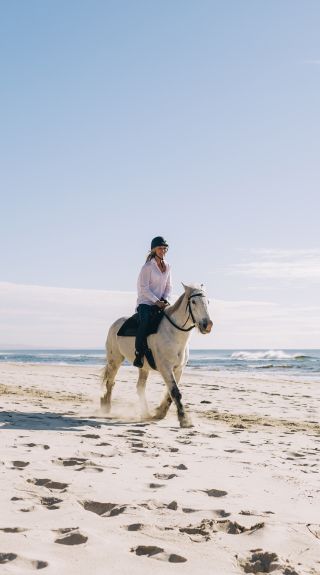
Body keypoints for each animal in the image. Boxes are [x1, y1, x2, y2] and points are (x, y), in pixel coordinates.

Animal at [101, 284, 214, 428]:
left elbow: (170, 393)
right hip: (115, 360)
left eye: (208, 302)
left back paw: (145, 413)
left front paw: (160, 413)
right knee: (110, 382)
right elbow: (175, 392)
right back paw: (106, 406)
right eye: (193, 302)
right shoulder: (165, 367)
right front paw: (184, 419)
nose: (207, 325)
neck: (174, 333)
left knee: (140, 387)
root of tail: (115, 324)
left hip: (142, 367)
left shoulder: (178, 369)